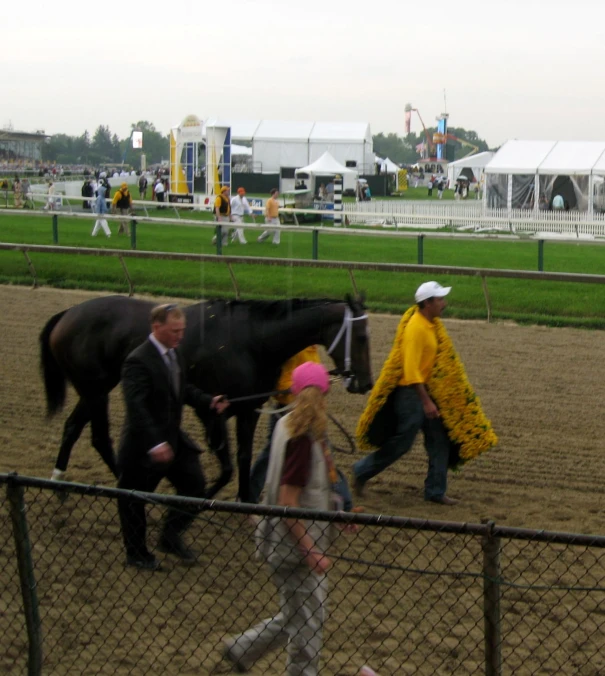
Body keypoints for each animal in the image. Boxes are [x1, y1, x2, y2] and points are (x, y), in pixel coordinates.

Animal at [40, 296, 370, 502]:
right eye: (361, 336)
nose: (365, 383)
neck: (252, 339)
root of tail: (67, 313)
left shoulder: (248, 409)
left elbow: (243, 457)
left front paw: (245, 501)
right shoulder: (212, 410)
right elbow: (226, 467)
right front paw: (202, 497)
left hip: (96, 388)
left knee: (74, 428)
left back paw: (60, 482)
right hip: (95, 389)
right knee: (98, 436)